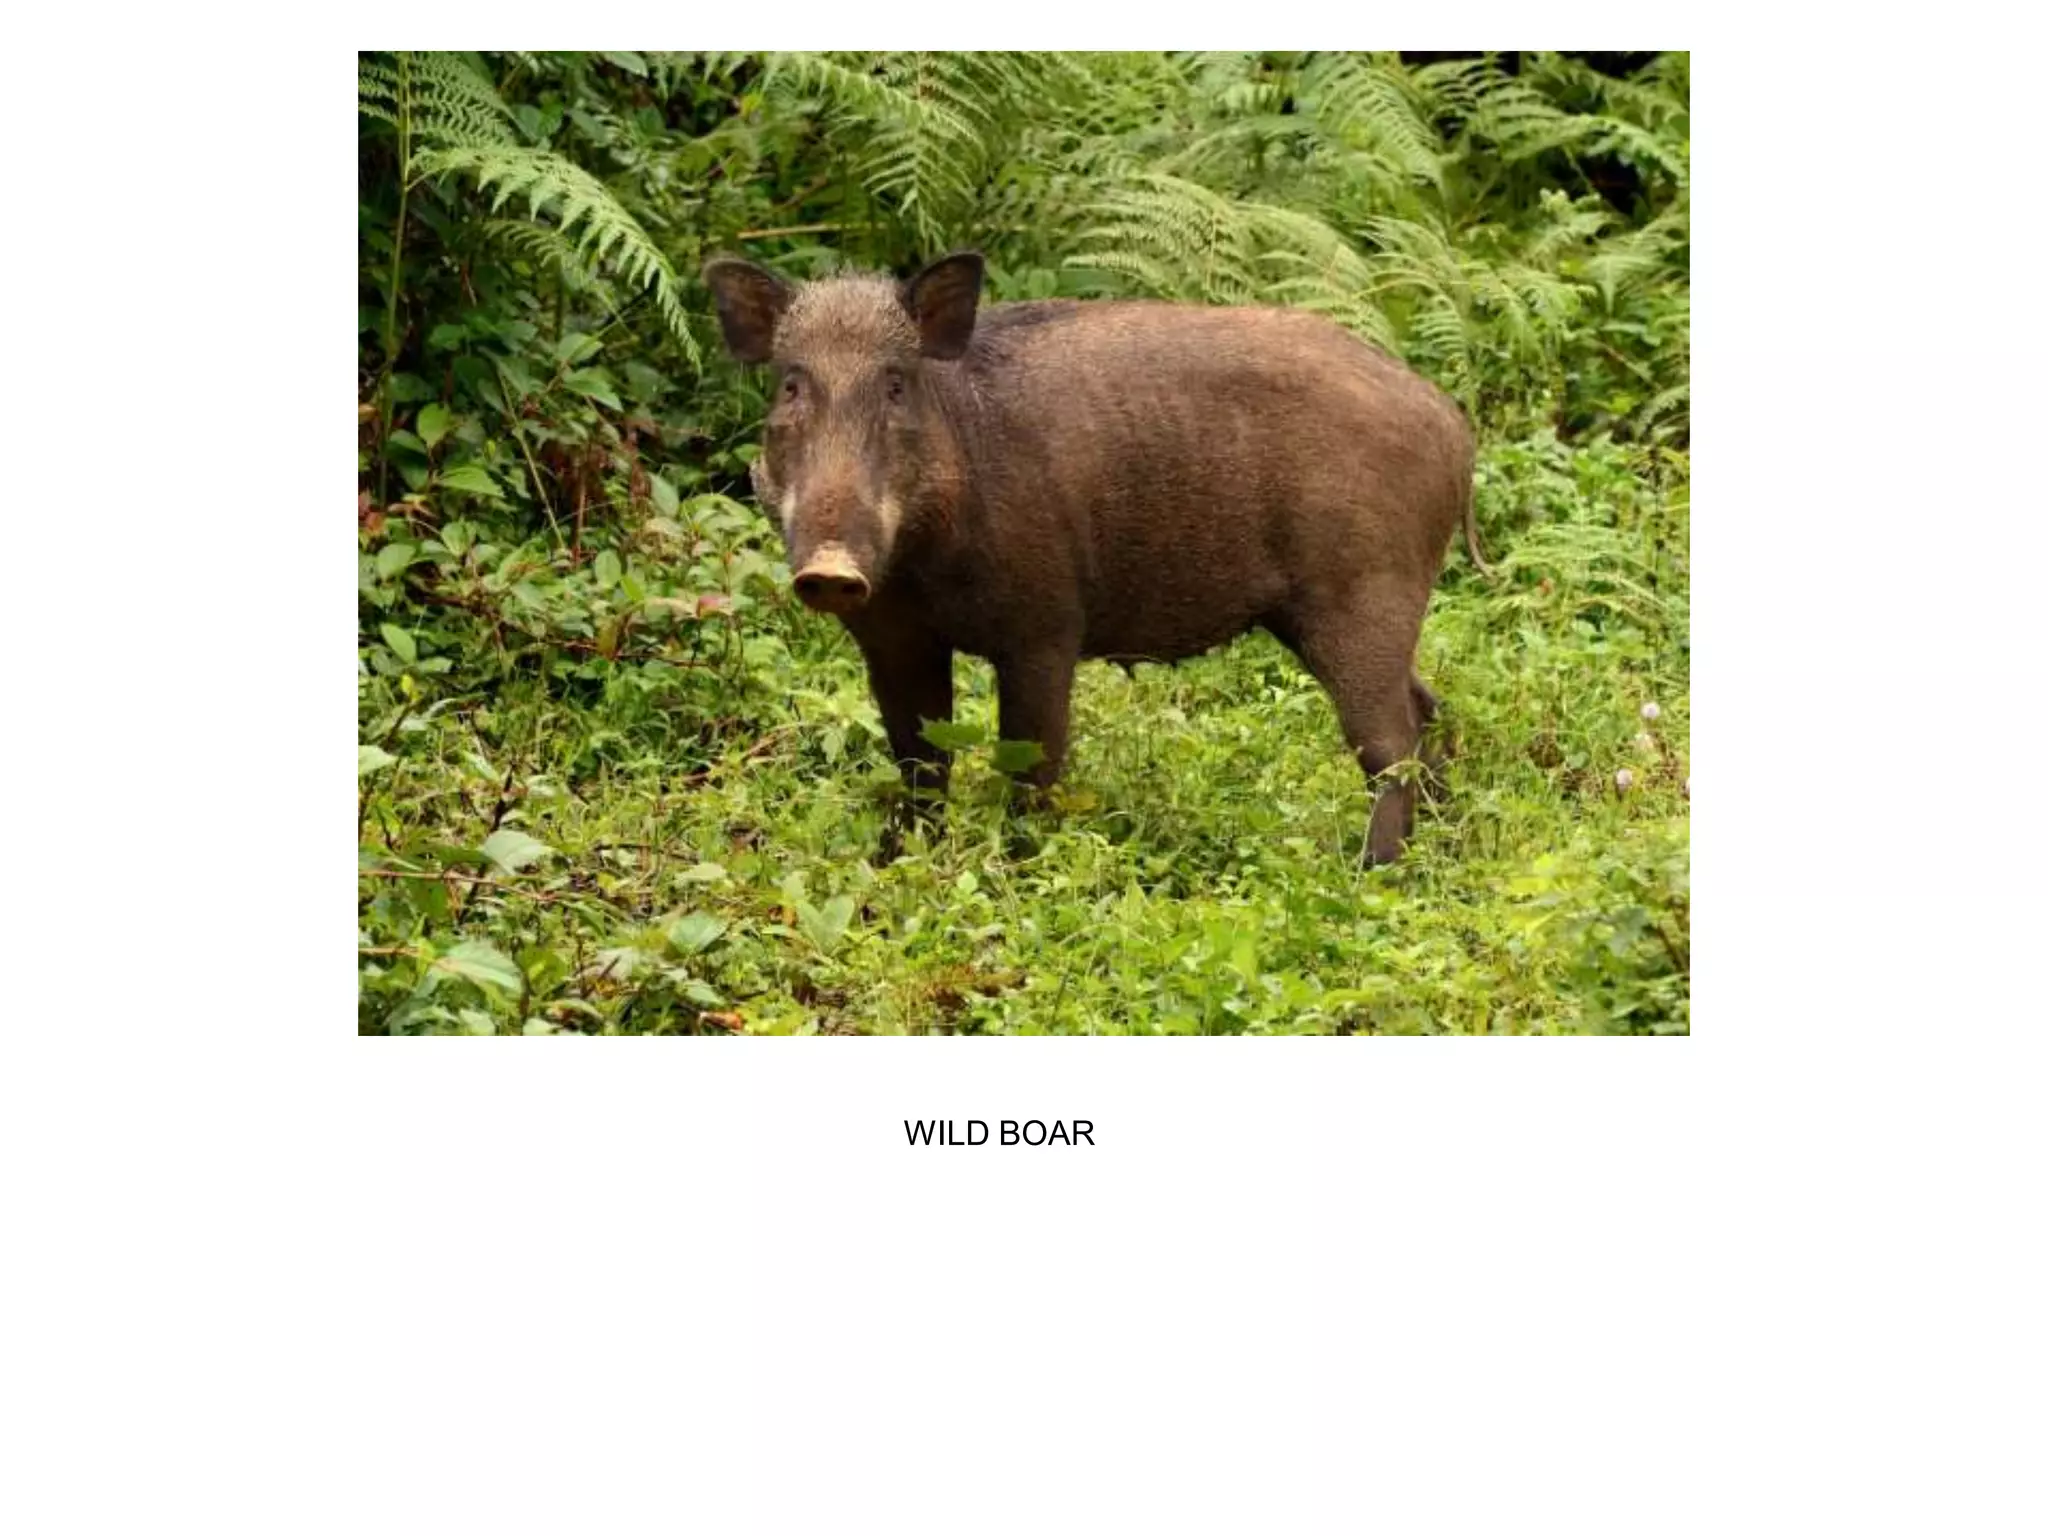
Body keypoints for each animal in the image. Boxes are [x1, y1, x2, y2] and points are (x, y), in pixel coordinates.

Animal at [701, 250, 1478, 864]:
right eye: (791, 385)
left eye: (895, 384)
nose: (830, 567)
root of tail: (1451, 422)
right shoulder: (893, 639)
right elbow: (920, 761)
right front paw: (902, 863)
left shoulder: (1045, 630)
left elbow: (1030, 763)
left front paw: (1019, 870)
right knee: (1426, 709)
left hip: (1362, 594)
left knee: (1390, 741)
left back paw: (1373, 872)